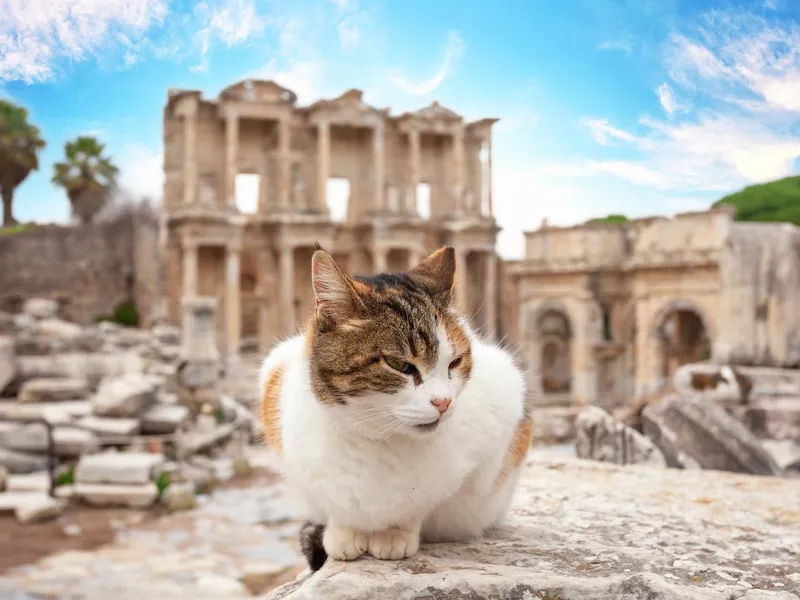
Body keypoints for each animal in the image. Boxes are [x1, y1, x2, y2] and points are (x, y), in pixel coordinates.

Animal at [258, 245, 532, 572]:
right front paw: (343, 533)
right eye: (399, 365)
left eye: (454, 363)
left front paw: (394, 535)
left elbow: (420, 506)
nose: (444, 402)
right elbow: (334, 505)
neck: (377, 438)